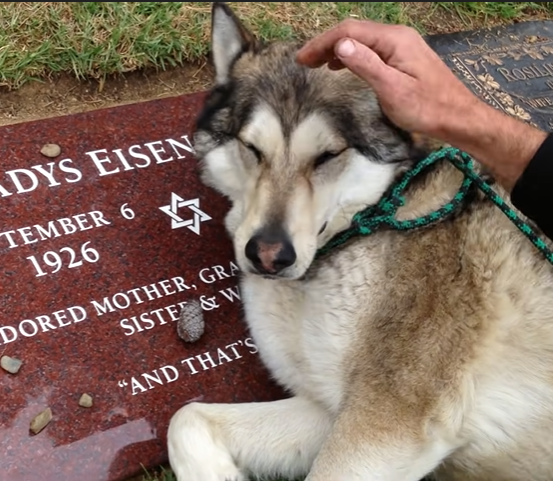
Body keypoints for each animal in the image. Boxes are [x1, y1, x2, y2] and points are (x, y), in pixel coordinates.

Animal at [166, 3, 552, 480]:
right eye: (252, 149)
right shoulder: (328, 410)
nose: (268, 256)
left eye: (328, 156)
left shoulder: (383, 427)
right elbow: (186, 416)